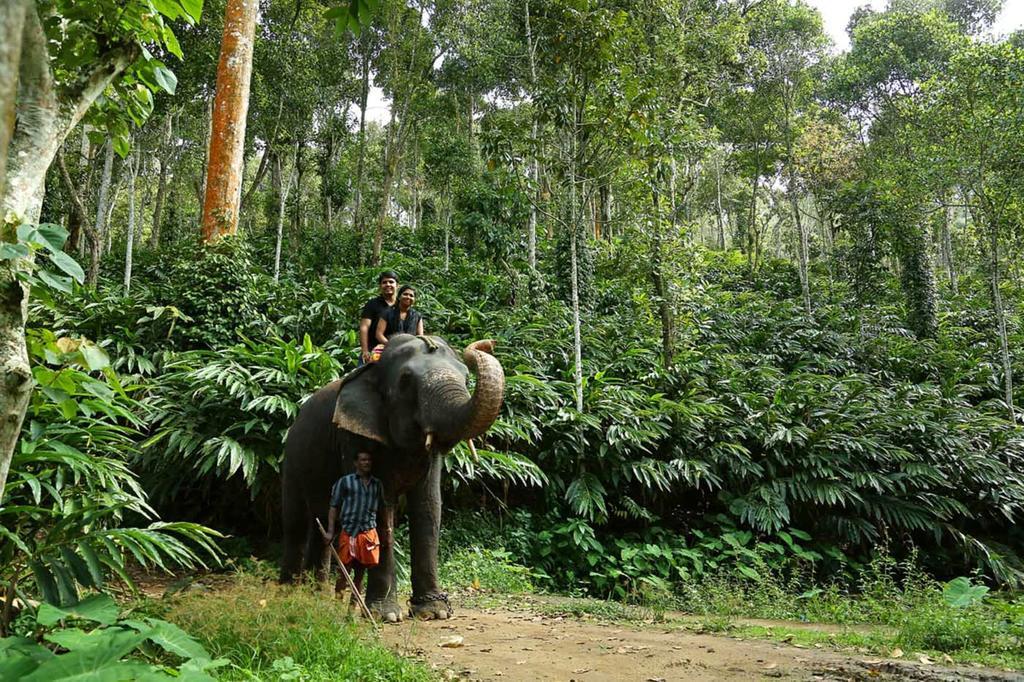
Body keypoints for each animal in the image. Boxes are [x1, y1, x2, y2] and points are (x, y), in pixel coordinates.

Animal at [278, 331, 505, 618]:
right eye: (406, 381)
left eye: (466, 376)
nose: (489, 343)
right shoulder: (352, 435)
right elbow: (378, 505)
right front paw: (386, 615)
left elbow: (429, 506)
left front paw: (434, 612)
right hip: (292, 457)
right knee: (295, 522)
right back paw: (288, 595)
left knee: (324, 525)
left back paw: (315, 597)